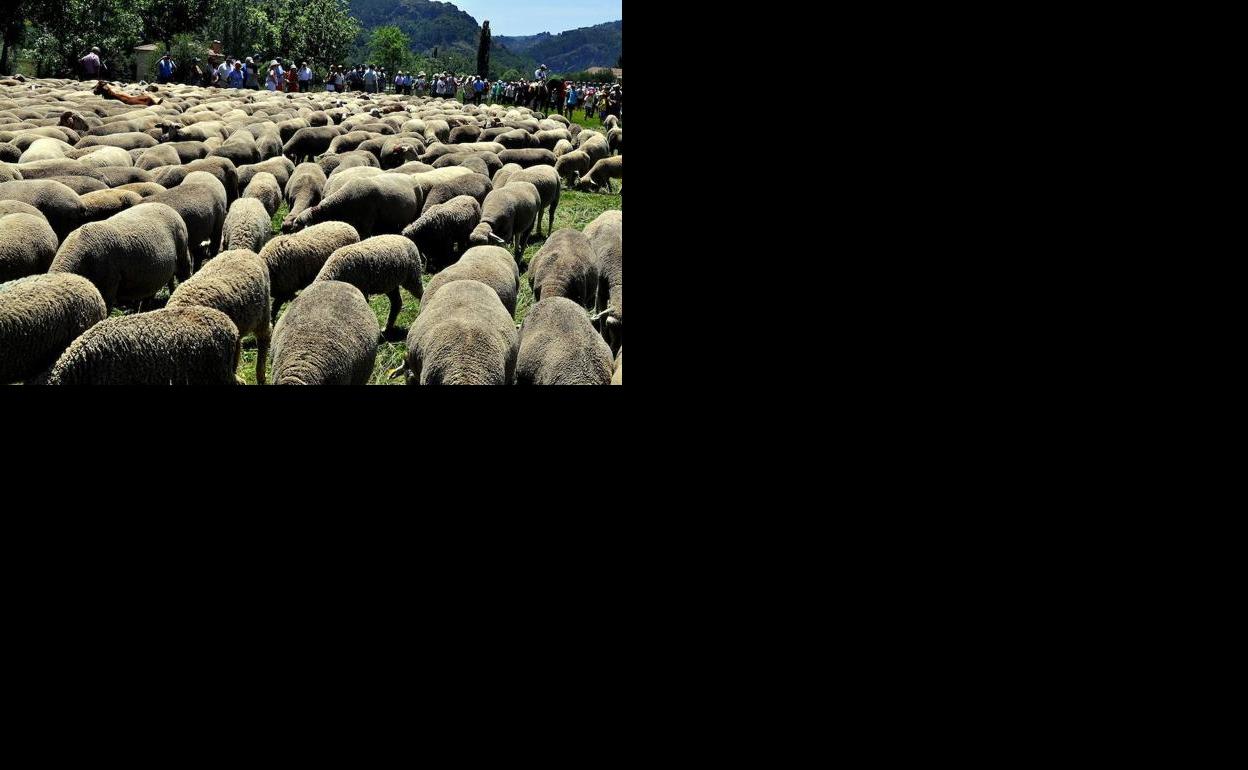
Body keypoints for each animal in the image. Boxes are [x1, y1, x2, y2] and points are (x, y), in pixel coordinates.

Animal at [584, 207, 624, 351]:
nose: (614, 351)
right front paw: (603, 337)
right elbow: (602, 314)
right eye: (611, 329)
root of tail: (610, 211)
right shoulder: (601, 290)